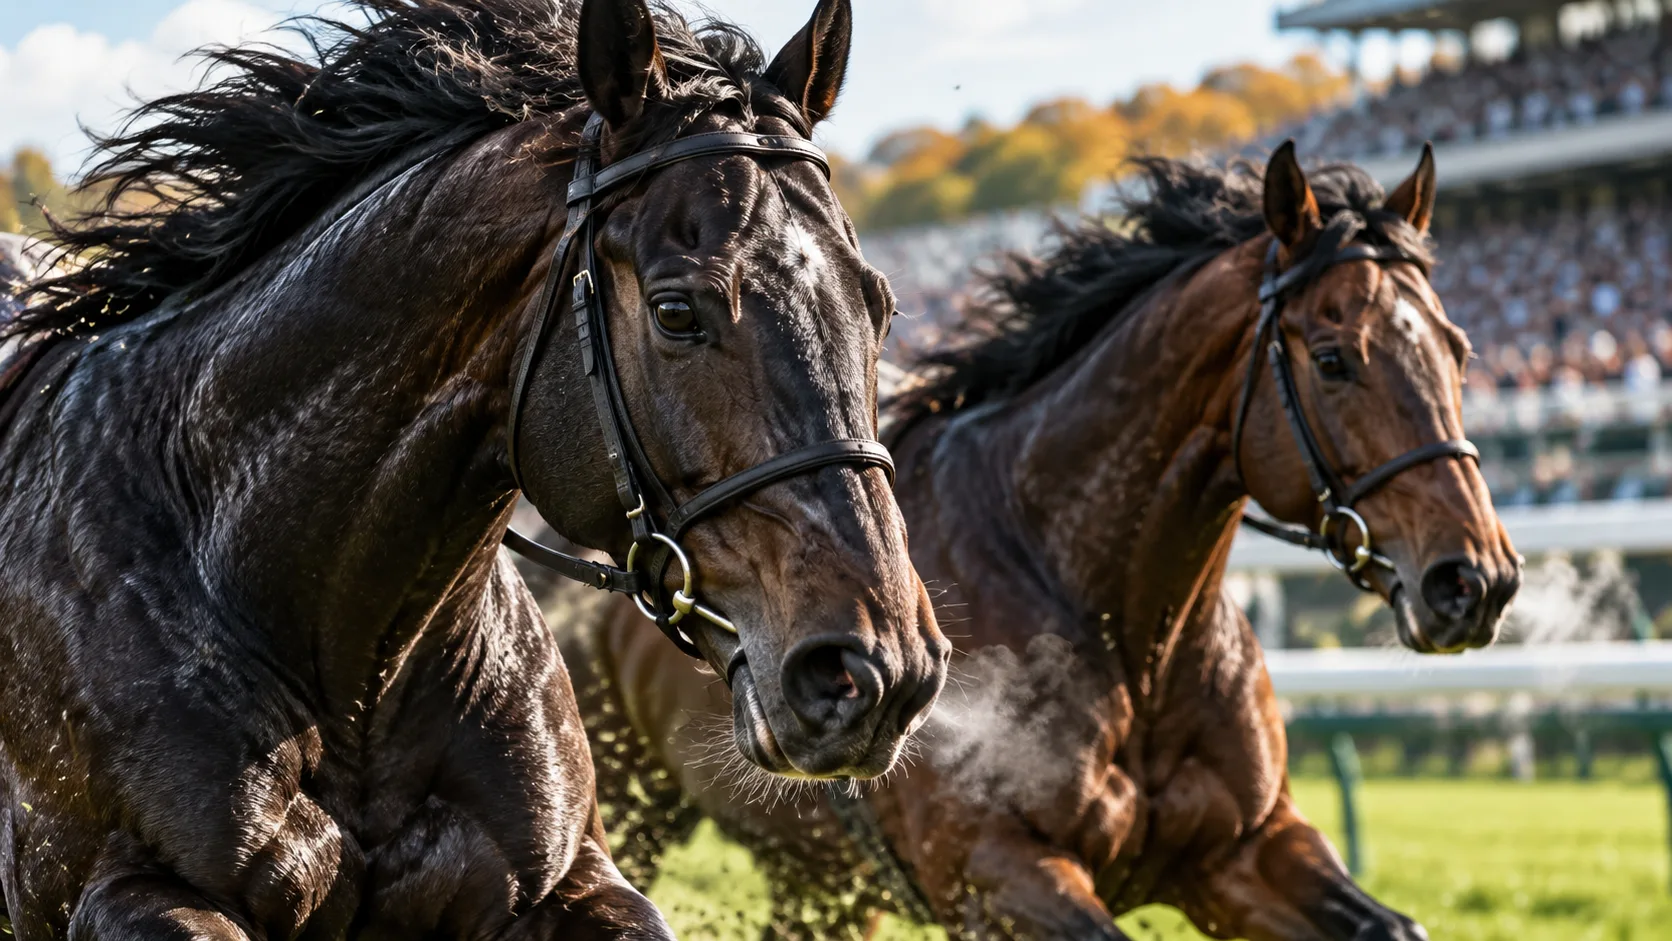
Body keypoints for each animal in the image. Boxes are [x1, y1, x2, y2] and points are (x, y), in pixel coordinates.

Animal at [555, 144, 1521, 939]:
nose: (1474, 580)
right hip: (629, 814)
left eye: (1457, 348)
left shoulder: (1242, 850)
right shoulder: (997, 871)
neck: (1124, 628)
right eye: (1333, 358)